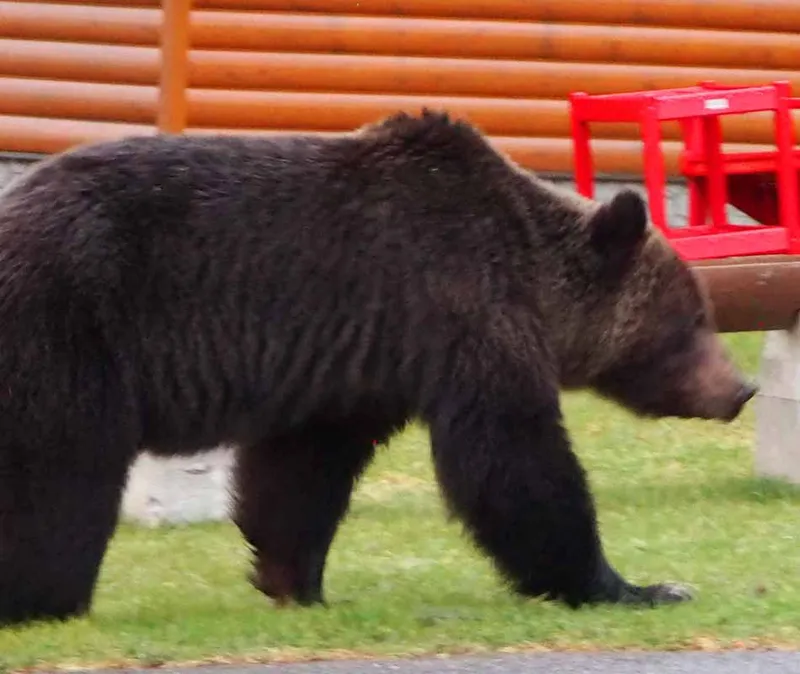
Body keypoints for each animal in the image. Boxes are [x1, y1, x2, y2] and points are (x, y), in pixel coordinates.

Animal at [0, 110, 756, 626]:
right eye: (695, 318)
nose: (740, 388)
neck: (535, 277)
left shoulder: (354, 363)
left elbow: (302, 469)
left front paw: (294, 579)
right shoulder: (460, 308)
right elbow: (513, 459)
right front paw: (633, 584)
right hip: (66, 323)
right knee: (60, 476)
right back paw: (45, 598)